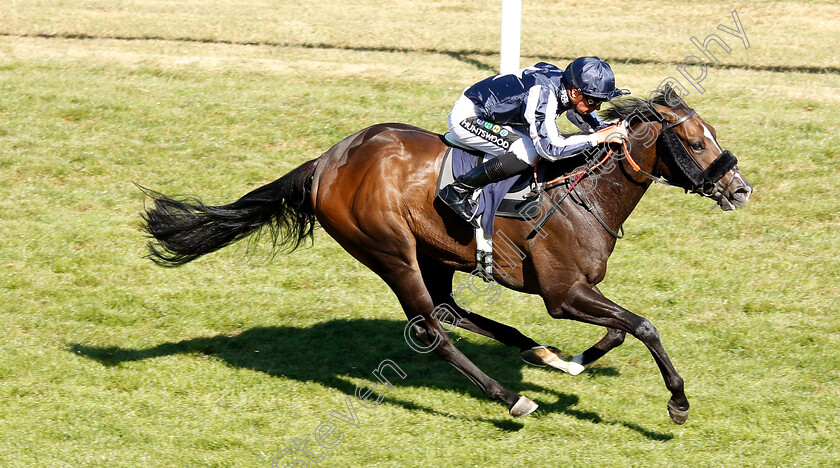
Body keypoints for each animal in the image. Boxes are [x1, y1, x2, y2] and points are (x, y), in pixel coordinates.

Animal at [141, 90, 752, 424]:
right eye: (696, 142)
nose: (740, 189)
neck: (585, 195)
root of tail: (327, 162)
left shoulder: (576, 292)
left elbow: (620, 330)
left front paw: (574, 361)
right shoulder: (563, 293)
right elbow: (643, 326)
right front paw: (677, 403)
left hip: (433, 253)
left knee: (449, 311)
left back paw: (540, 353)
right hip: (390, 251)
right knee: (430, 329)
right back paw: (511, 399)